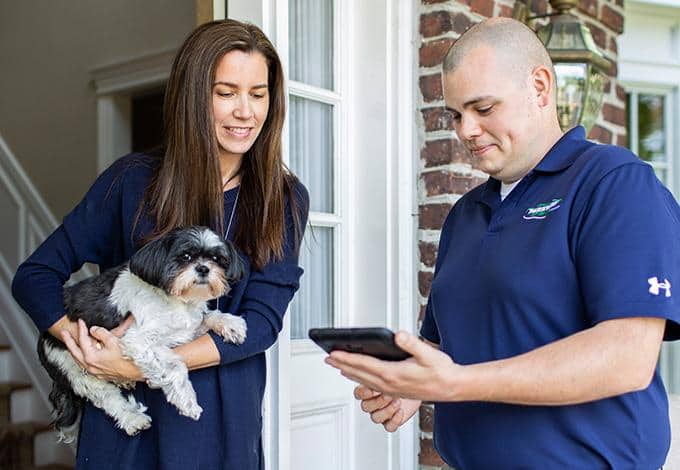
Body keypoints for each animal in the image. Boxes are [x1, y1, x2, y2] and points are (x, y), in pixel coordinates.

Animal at [37, 226, 247, 438]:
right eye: (186, 256)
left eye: (216, 259)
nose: (204, 268)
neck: (174, 300)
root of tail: (43, 336)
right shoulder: (138, 341)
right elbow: (176, 366)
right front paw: (186, 399)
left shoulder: (184, 331)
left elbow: (207, 316)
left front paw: (231, 324)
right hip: (73, 367)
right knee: (106, 397)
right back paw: (133, 419)